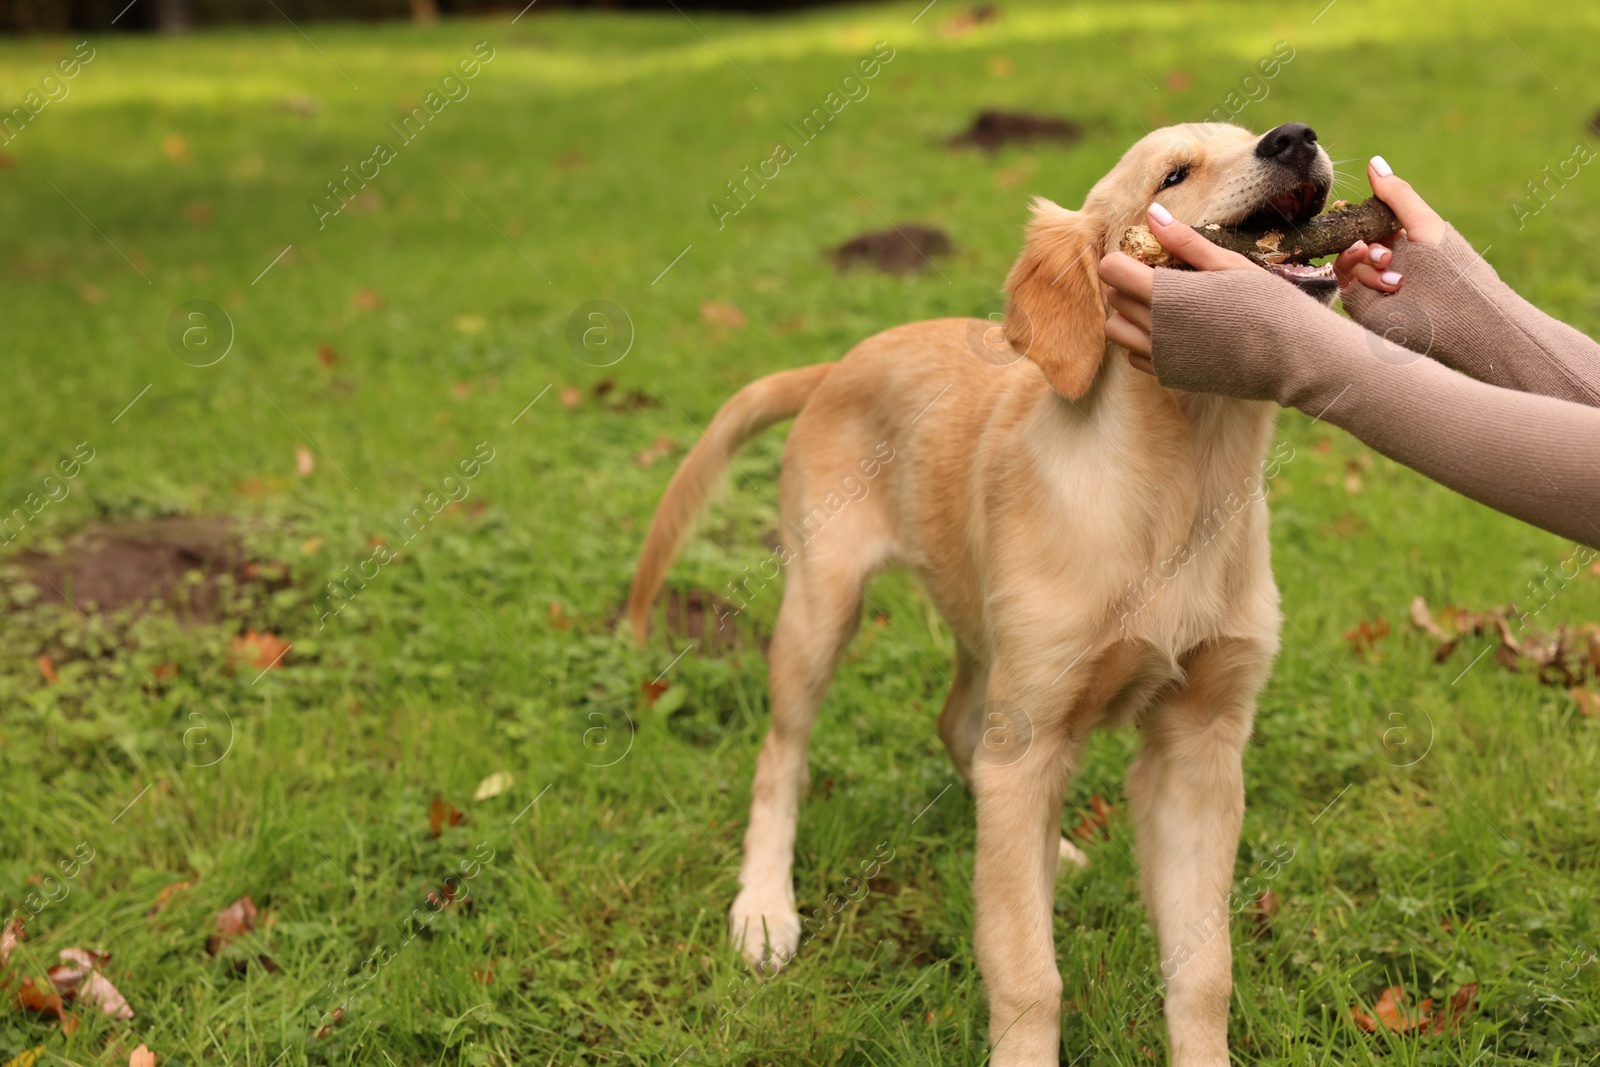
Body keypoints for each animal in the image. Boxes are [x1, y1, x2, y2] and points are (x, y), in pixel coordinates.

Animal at [624, 120, 1337, 1062]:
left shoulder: (1199, 744)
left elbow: (1203, 969)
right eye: (1173, 175)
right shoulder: (1034, 734)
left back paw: (1049, 849)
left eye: (1256, 134)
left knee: (957, 726)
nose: (1294, 139)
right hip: (824, 607)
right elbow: (1027, 969)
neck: (1183, 483)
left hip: (981, 632)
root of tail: (838, 363)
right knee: (781, 759)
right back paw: (765, 910)